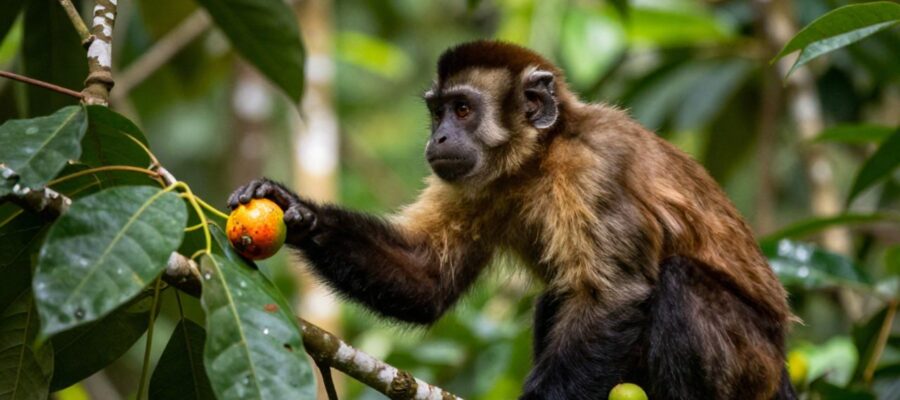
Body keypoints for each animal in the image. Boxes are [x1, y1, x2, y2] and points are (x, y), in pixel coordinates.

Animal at [228, 40, 796, 400]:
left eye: (462, 110)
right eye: (437, 112)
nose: (438, 138)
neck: (538, 161)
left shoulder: (595, 166)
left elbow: (616, 295)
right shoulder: (477, 183)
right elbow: (427, 281)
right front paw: (296, 211)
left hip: (754, 366)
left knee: (676, 284)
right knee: (556, 299)